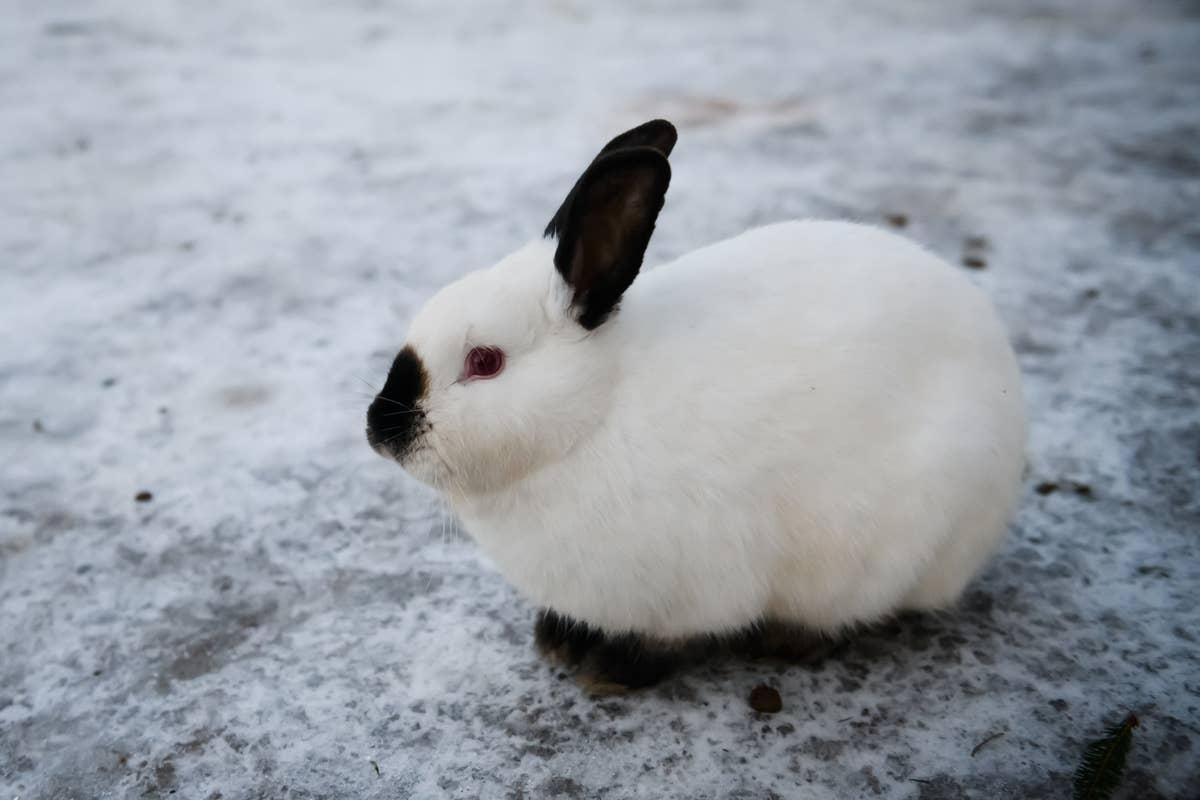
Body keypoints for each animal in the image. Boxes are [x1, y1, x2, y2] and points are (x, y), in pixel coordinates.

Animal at [366, 119, 1026, 693]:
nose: (378, 430)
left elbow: (671, 639)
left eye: (485, 362)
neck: (593, 413)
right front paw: (558, 639)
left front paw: (610, 670)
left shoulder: (699, 584)